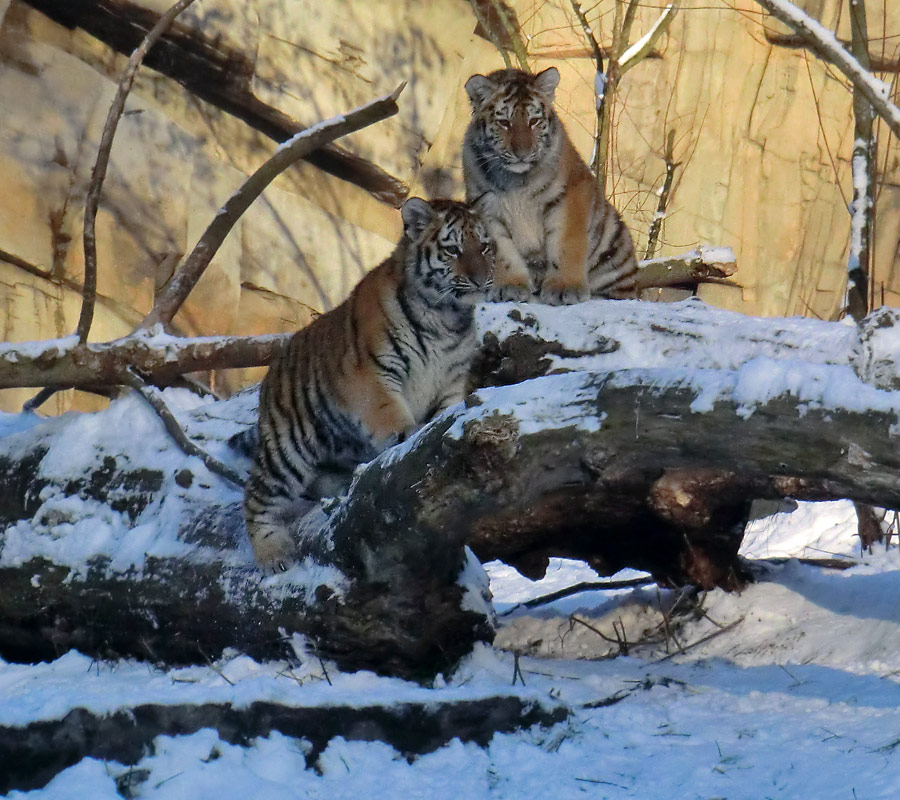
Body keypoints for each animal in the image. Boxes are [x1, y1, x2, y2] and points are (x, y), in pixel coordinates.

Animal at [243, 200, 496, 576]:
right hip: (287, 448)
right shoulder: (373, 375)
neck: (447, 318)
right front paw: (408, 434)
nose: (481, 280)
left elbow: (446, 415)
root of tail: (274, 364)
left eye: (485, 246)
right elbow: (389, 413)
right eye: (453, 250)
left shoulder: (451, 381)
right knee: (256, 497)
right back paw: (273, 554)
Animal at [464, 65, 640, 304]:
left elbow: (566, 243)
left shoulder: (570, 196)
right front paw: (509, 287)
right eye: (504, 123)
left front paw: (565, 289)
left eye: (534, 121)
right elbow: (502, 251)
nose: (522, 153)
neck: (516, 180)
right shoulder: (485, 206)